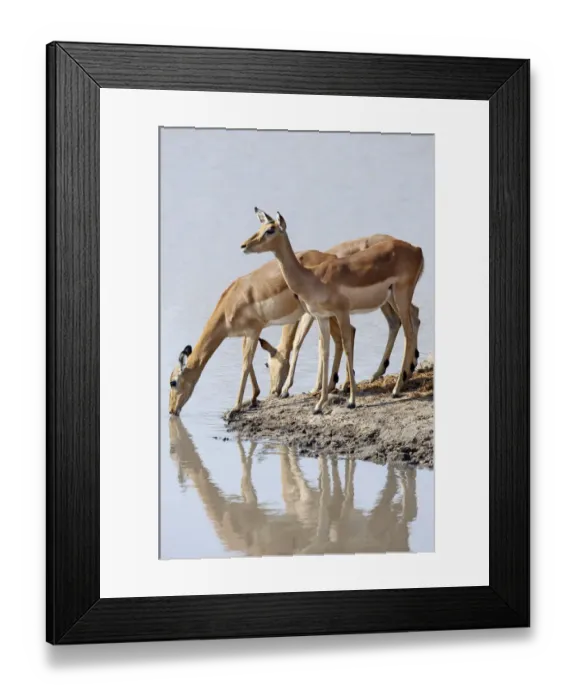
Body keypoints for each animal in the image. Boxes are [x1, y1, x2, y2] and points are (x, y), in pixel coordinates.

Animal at [240, 208, 424, 414]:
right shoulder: (322, 317)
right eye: (260, 227)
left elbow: (346, 345)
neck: (312, 277)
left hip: (400, 296)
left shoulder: (341, 313)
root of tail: (417, 249)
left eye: (270, 230)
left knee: (408, 332)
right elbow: (325, 350)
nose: (244, 245)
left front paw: (351, 400)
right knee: (408, 320)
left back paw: (396, 389)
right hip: (392, 299)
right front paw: (319, 404)